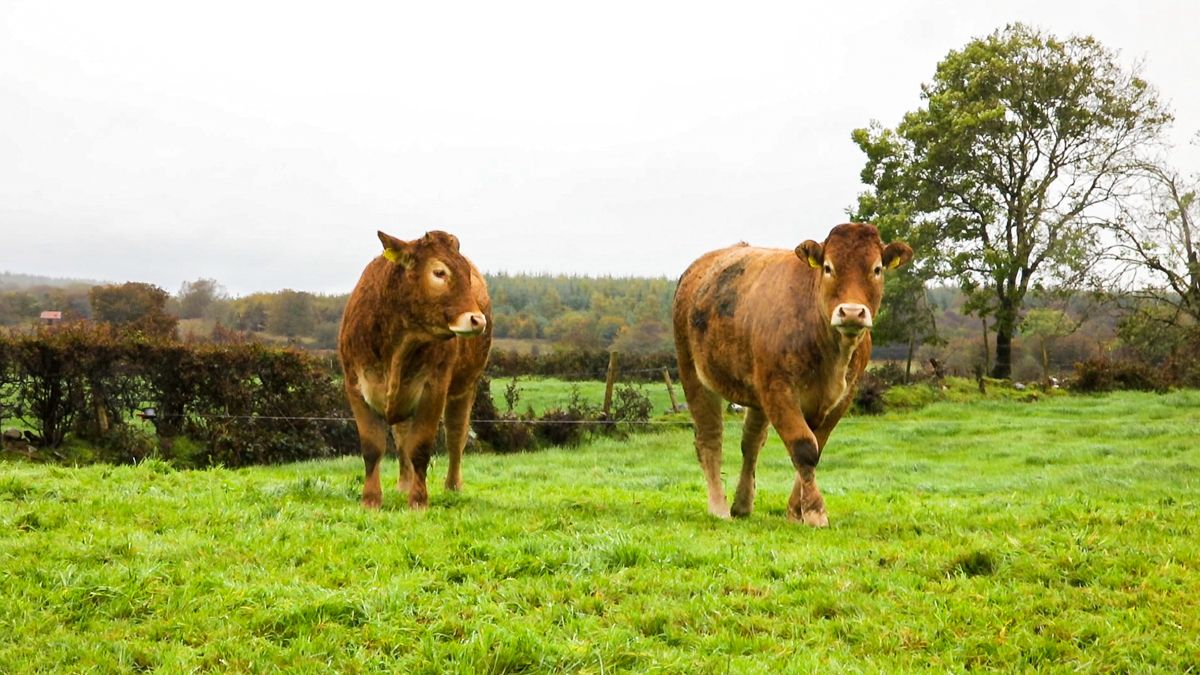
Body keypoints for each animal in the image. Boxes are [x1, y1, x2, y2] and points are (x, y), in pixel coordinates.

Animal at [338, 230, 492, 509]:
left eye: (466, 274)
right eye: (439, 272)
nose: (477, 320)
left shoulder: (434, 388)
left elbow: (420, 447)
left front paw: (418, 501)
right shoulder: (355, 385)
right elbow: (373, 447)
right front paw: (370, 500)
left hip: (466, 387)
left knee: (456, 436)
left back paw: (452, 486)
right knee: (402, 440)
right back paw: (403, 484)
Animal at [672, 223, 912, 527]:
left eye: (877, 268)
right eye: (828, 268)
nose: (851, 312)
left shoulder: (843, 396)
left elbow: (817, 446)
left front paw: (795, 511)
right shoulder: (778, 389)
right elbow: (804, 447)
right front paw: (815, 512)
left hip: (755, 390)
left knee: (751, 443)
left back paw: (743, 504)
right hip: (693, 372)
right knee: (710, 437)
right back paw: (719, 508)